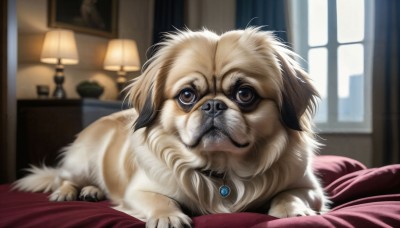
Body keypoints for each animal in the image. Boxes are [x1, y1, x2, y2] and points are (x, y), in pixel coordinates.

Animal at [14, 28, 328, 228]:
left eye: (244, 94)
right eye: (187, 95)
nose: (213, 105)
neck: (223, 171)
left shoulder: (309, 187)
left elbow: (289, 195)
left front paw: (294, 212)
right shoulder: (138, 191)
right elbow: (161, 201)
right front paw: (168, 217)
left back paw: (91, 192)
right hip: (82, 162)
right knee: (63, 178)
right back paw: (70, 192)